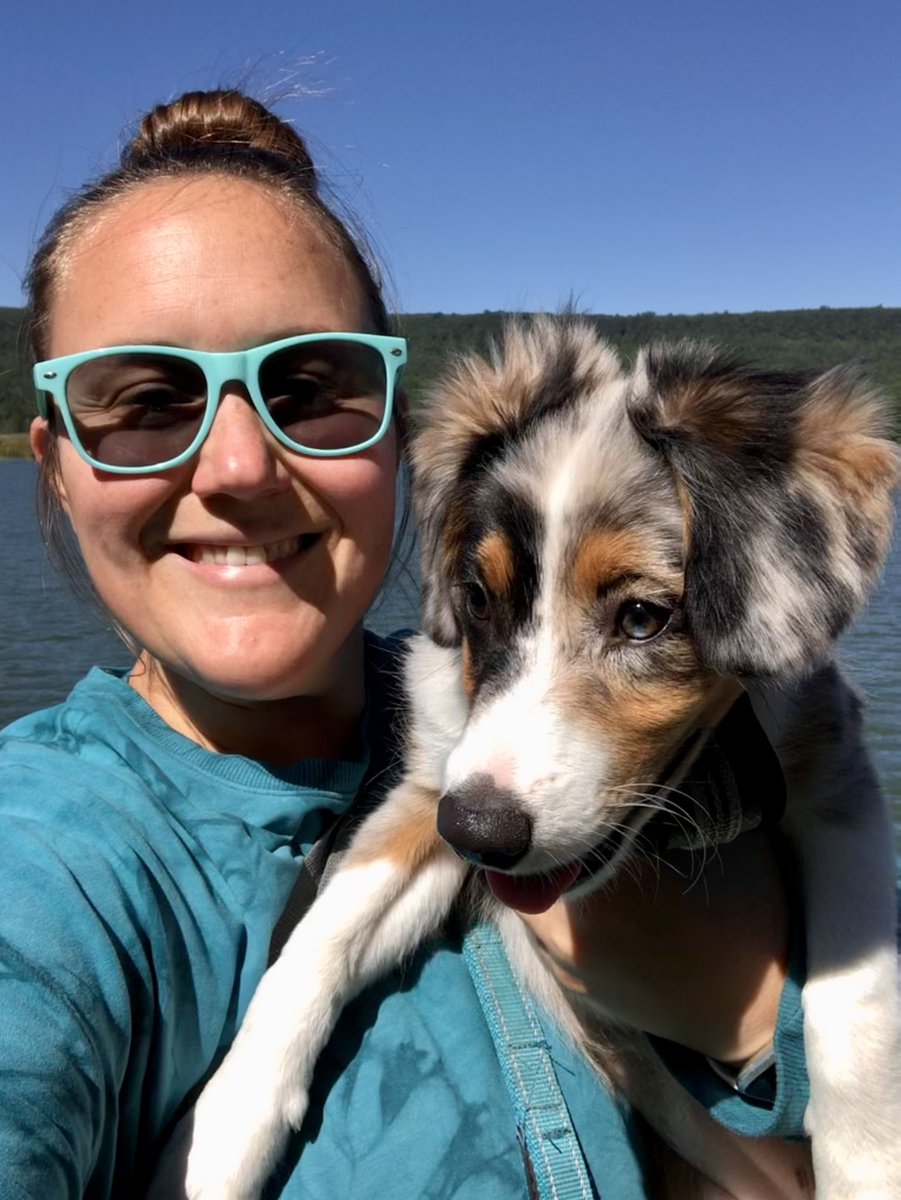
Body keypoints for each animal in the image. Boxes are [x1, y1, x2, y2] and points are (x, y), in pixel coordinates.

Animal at [165, 321, 897, 1200]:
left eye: (643, 617)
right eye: (478, 600)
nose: (481, 831)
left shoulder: (834, 775)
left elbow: (853, 992)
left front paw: (867, 1161)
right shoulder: (432, 788)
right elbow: (324, 933)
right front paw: (221, 1131)